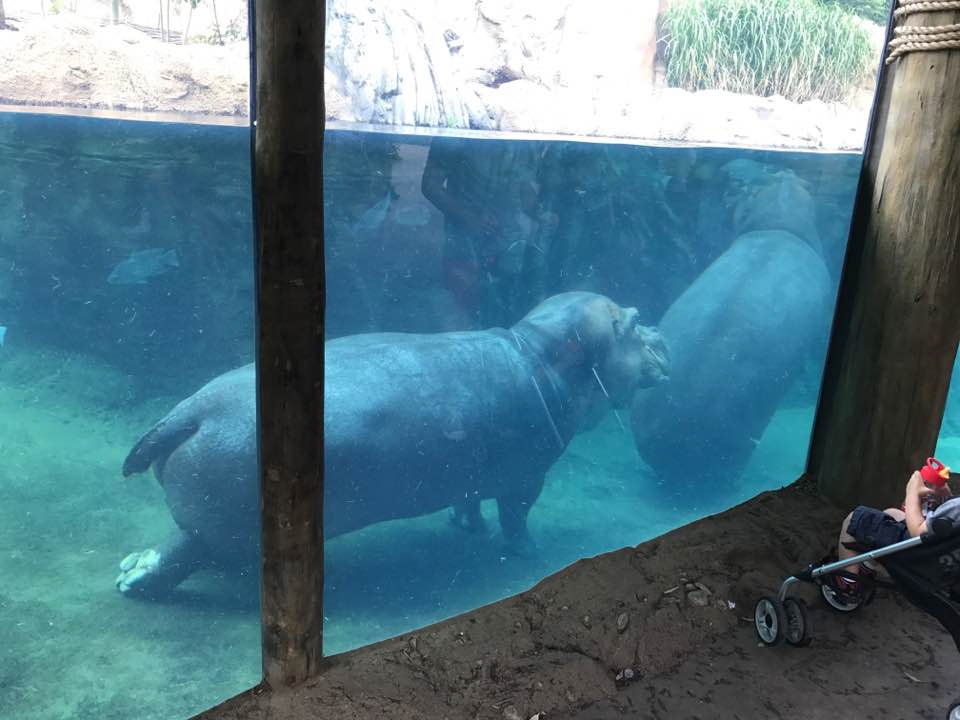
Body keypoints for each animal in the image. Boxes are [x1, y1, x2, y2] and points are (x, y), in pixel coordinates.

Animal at [117, 291, 669, 596]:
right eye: (633, 322)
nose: (664, 337)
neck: (541, 348)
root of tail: (191, 412)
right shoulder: (527, 477)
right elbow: (517, 516)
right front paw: (529, 553)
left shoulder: (470, 472)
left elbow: (469, 501)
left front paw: (466, 527)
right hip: (219, 530)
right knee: (184, 552)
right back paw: (135, 580)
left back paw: (129, 568)